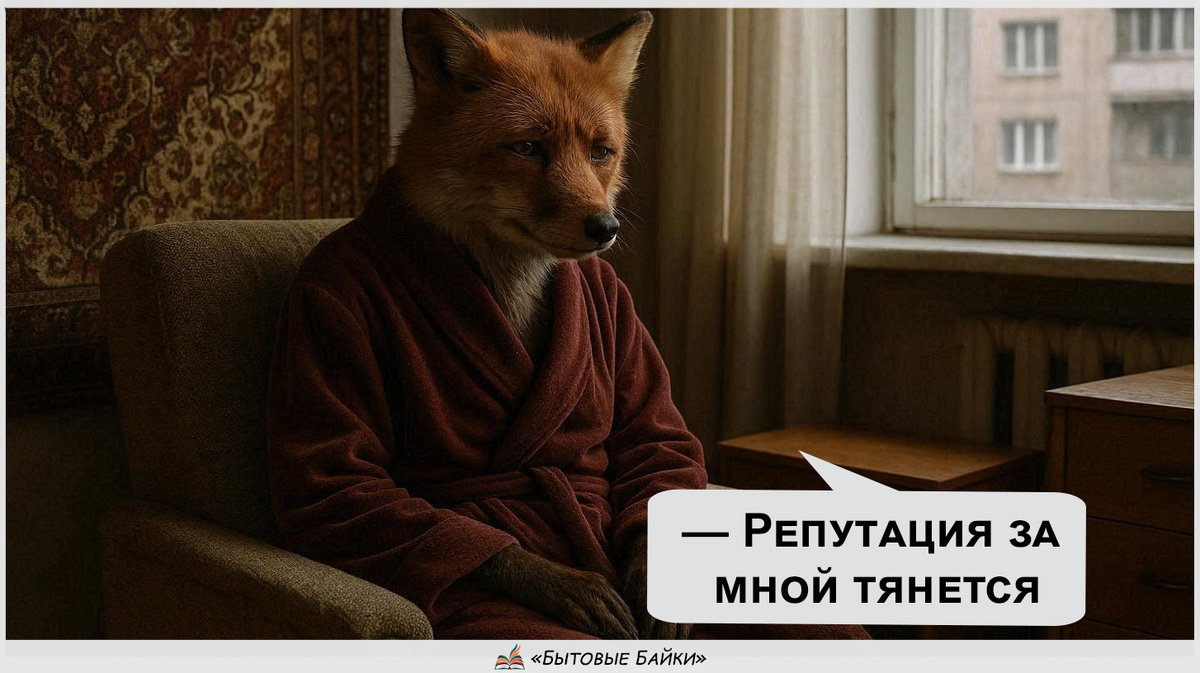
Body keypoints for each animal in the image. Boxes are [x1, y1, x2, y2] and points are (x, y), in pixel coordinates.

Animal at [394, 9, 679, 638]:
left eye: (600, 153)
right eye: (527, 148)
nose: (606, 227)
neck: (512, 289)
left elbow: (658, 440)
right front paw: (570, 586)